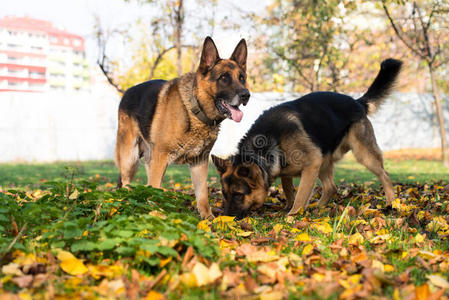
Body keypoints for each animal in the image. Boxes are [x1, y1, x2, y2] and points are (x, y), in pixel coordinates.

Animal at [115, 37, 248, 219]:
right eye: (224, 78)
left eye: (241, 78)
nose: (246, 95)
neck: (195, 109)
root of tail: (127, 92)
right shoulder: (160, 158)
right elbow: (154, 189)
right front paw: (156, 216)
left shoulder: (200, 162)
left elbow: (202, 195)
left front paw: (208, 219)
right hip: (130, 157)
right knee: (127, 183)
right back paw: (128, 204)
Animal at [212, 58, 400, 218]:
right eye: (224, 194)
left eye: (238, 195)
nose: (225, 217)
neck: (269, 139)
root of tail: (358, 102)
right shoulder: (285, 170)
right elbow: (289, 190)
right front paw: (288, 207)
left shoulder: (311, 165)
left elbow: (301, 194)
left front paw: (292, 215)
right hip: (324, 159)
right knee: (331, 188)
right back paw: (317, 208)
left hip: (362, 154)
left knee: (384, 174)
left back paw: (391, 202)